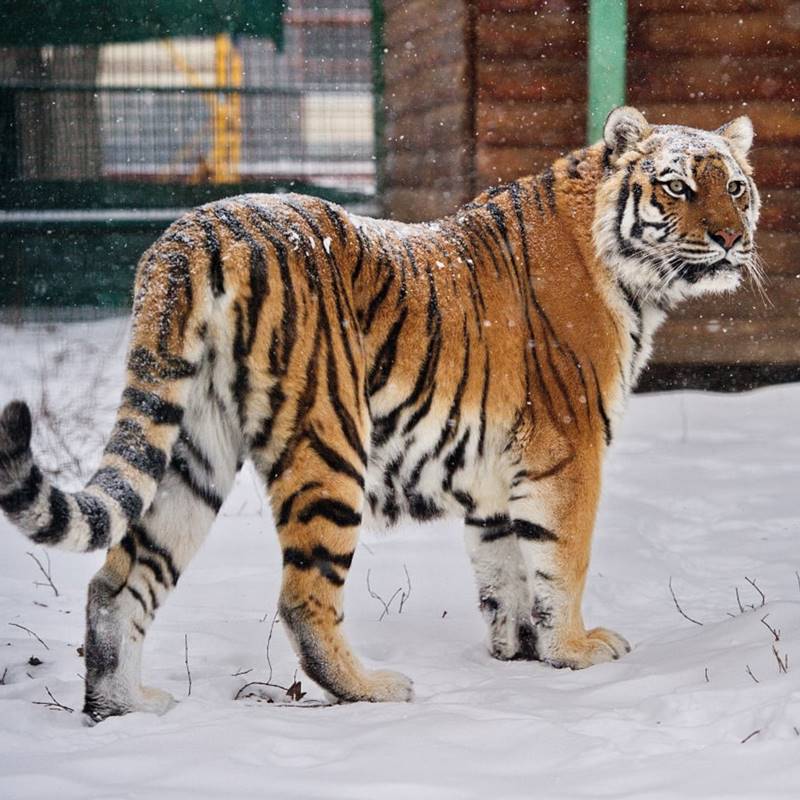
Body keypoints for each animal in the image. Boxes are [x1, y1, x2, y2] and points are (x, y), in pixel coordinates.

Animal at [0, 106, 764, 720]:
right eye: (676, 185)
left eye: (734, 186)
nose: (731, 238)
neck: (627, 273)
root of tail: (199, 229)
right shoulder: (567, 450)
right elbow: (561, 560)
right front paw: (575, 651)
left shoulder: (497, 473)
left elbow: (506, 570)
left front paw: (519, 653)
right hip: (330, 441)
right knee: (302, 598)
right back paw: (373, 689)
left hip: (193, 448)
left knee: (115, 582)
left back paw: (125, 710)